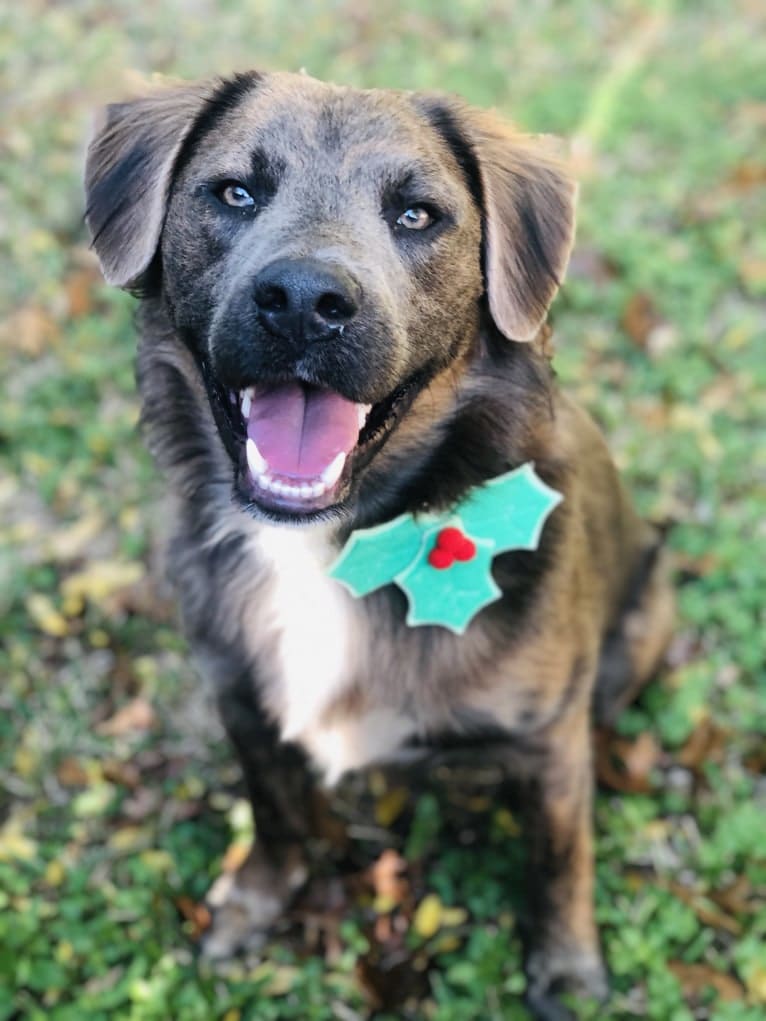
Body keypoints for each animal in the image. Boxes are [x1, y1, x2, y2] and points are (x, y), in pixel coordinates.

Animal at [82, 71, 669, 1021]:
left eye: (418, 215)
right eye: (234, 193)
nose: (302, 301)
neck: (333, 541)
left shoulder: (548, 738)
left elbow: (558, 859)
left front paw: (567, 968)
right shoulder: (241, 696)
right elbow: (274, 812)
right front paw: (257, 898)